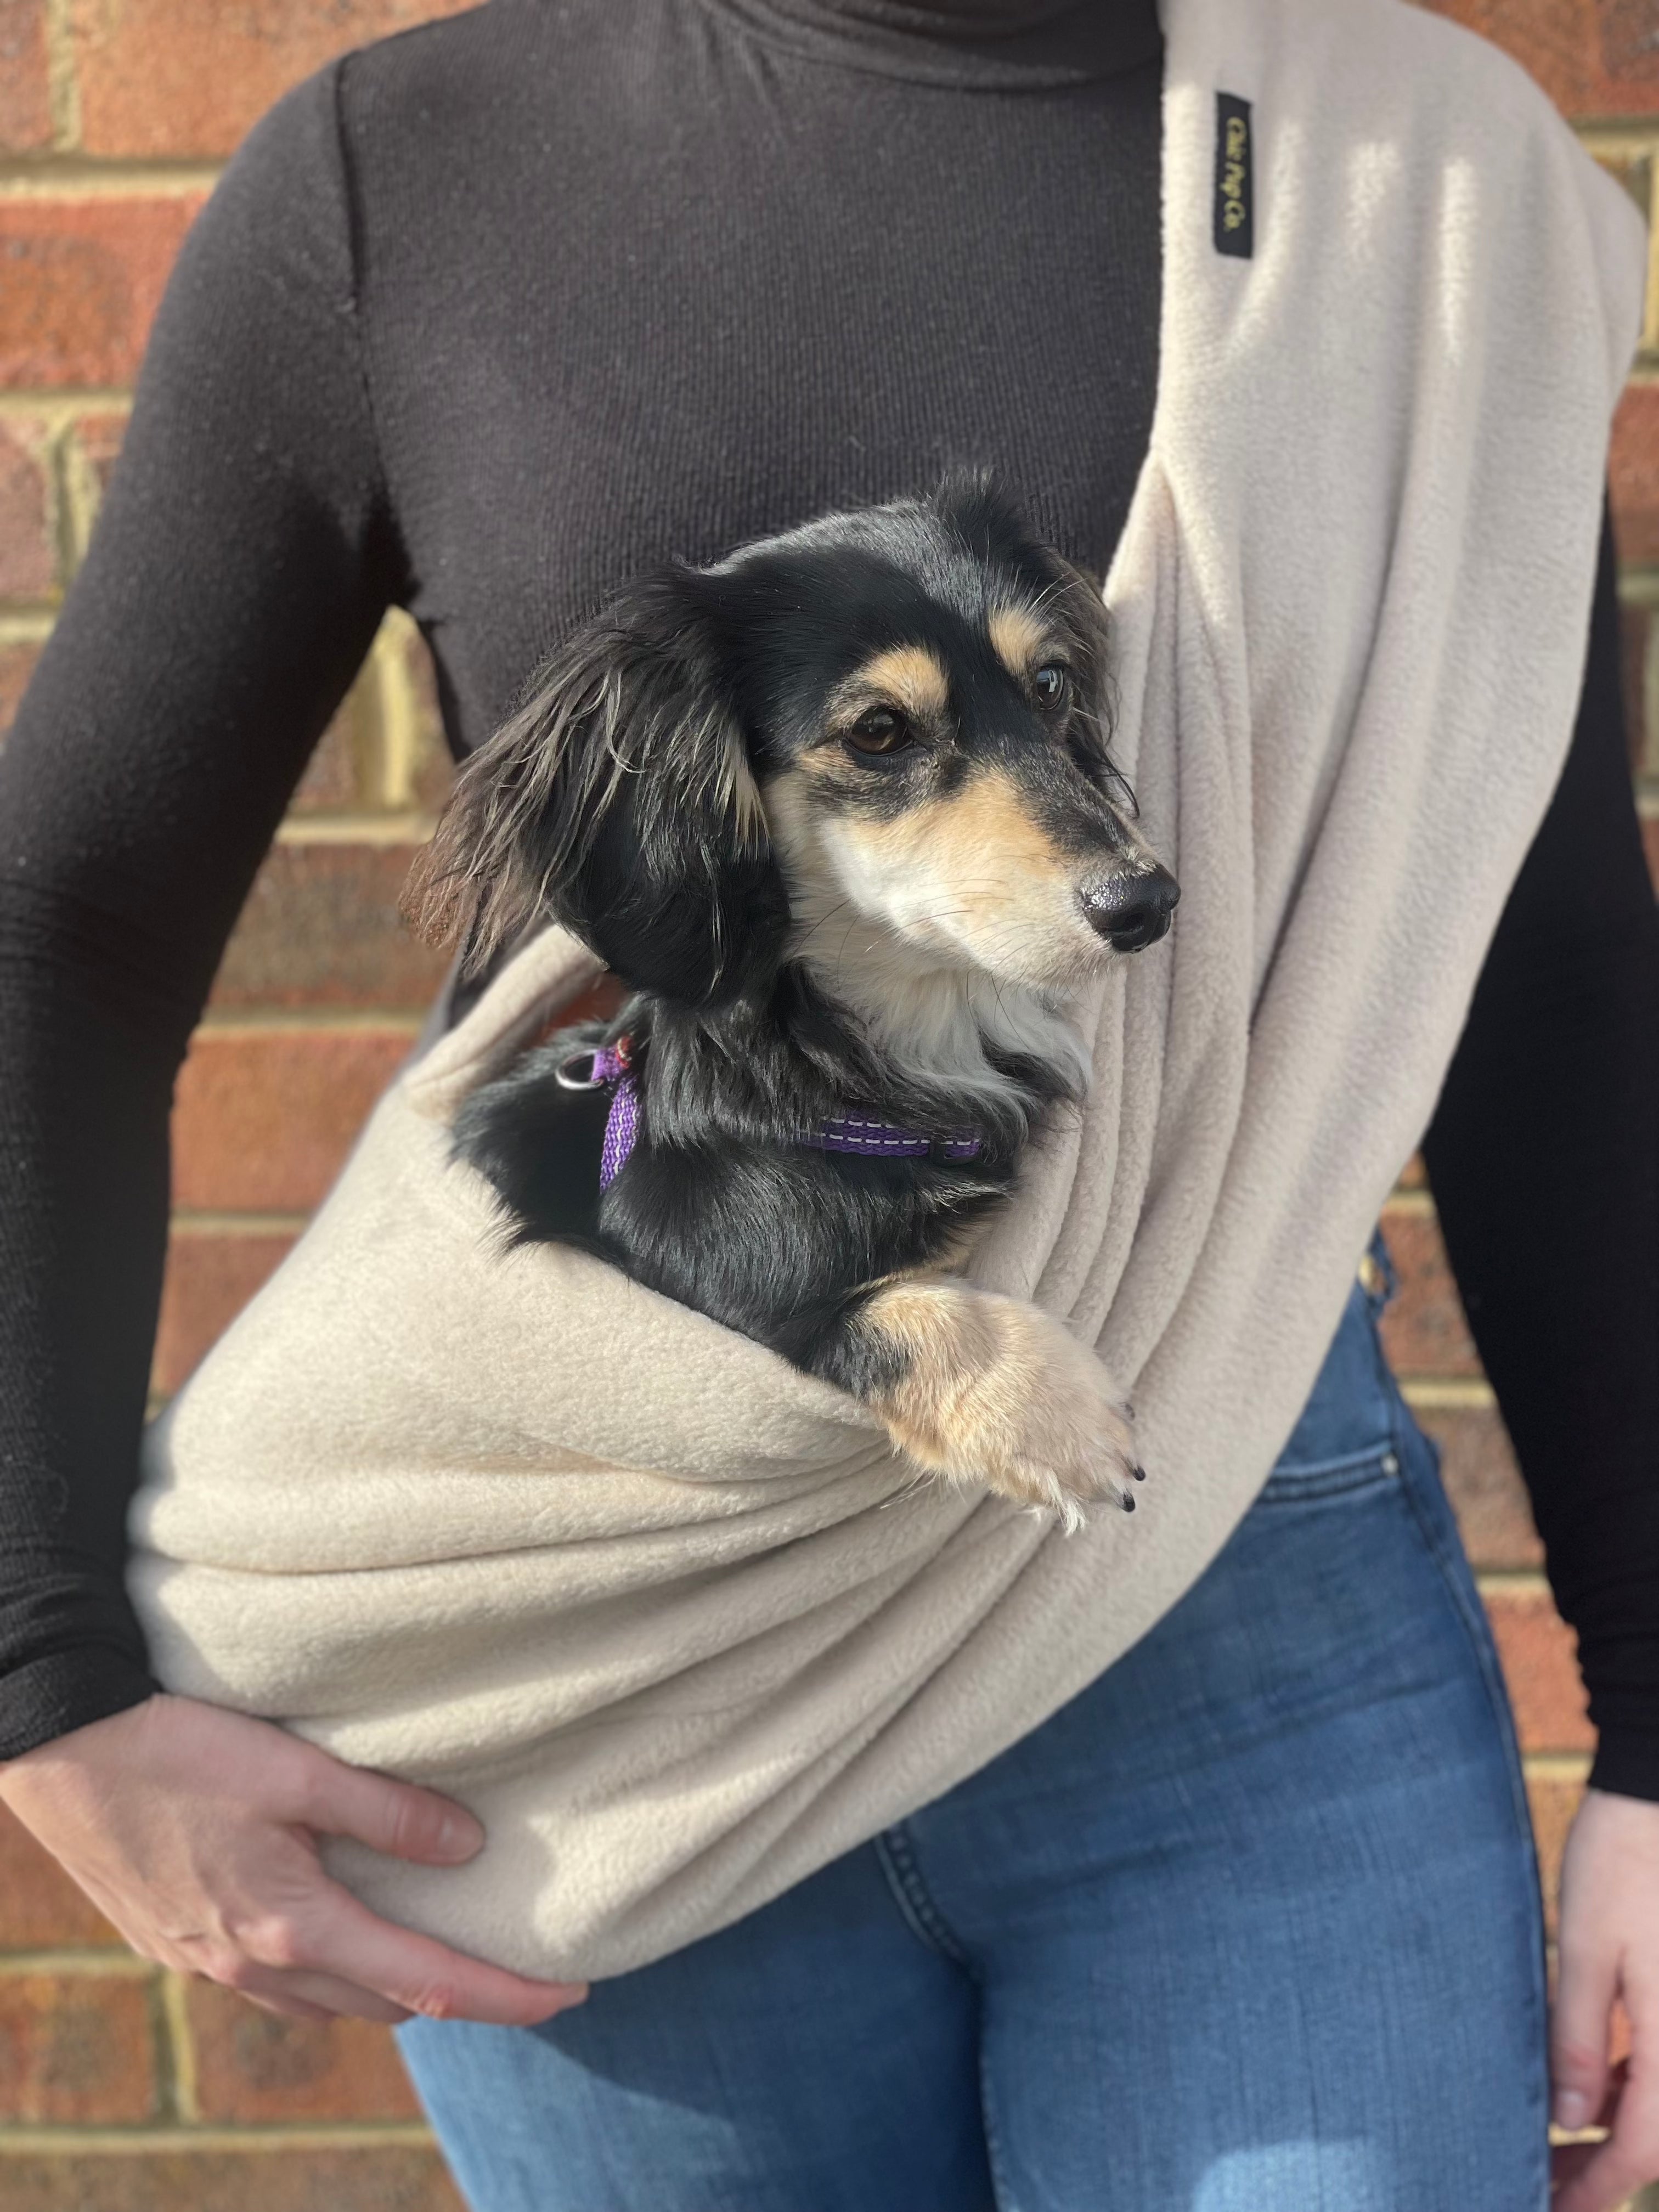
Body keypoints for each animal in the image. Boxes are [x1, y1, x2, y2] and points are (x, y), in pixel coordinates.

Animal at [413, 477, 1186, 1531]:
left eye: (1052, 684)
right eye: (878, 730)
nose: (1143, 902)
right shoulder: (687, 1276)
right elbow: (866, 1312)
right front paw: (1050, 1412)